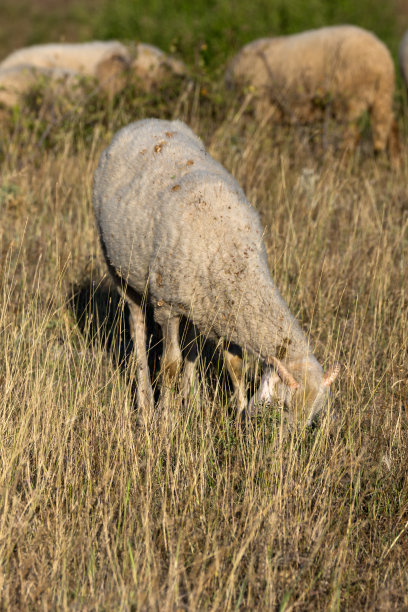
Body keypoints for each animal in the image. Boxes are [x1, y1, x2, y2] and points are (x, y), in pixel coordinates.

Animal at [94, 120, 340, 426]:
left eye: (312, 417)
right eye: (283, 406)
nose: (289, 440)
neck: (235, 258)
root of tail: (143, 123)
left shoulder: (226, 311)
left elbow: (235, 366)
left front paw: (240, 414)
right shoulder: (167, 305)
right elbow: (170, 365)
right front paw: (165, 420)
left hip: (197, 305)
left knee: (191, 344)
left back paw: (190, 401)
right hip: (121, 271)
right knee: (138, 328)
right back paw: (146, 405)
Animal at [228, 26, 400, 163]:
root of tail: (382, 61)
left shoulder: (263, 108)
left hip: (349, 99)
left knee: (352, 138)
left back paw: (340, 167)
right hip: (381, 98)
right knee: (391, 129)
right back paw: (395, 166)